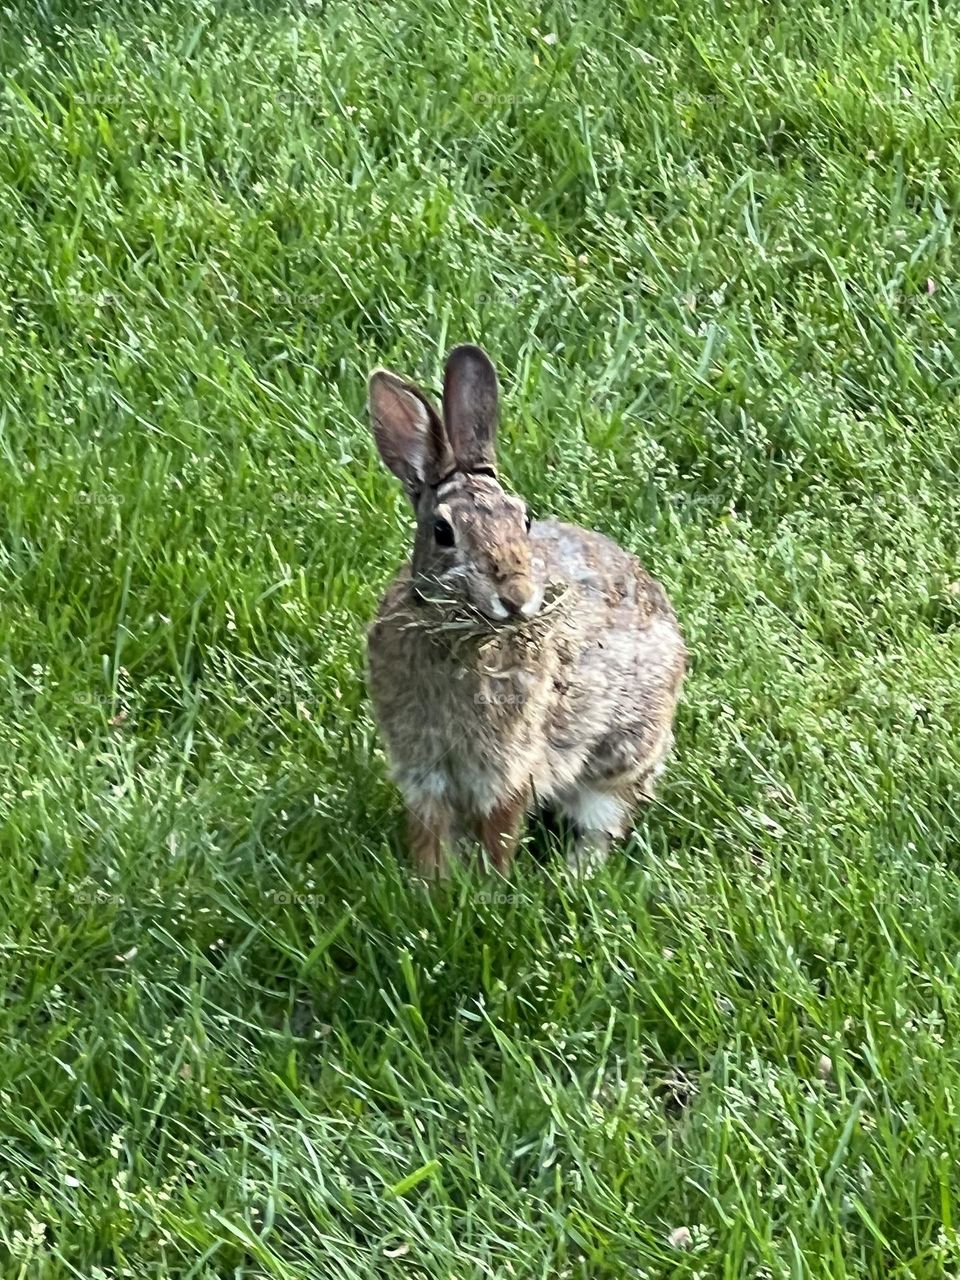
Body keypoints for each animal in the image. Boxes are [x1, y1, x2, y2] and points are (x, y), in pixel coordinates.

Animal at [366, 344, 685, 878]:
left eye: (525, 519)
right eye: (442, 531)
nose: (515, 596)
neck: (462, 636)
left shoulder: (509, 767)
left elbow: (499, 829)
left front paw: (490, 885)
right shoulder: (423, 770)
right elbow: (430, 833)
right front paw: (431, 884)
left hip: (623, 757)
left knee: (605, 819)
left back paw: (574, 875)